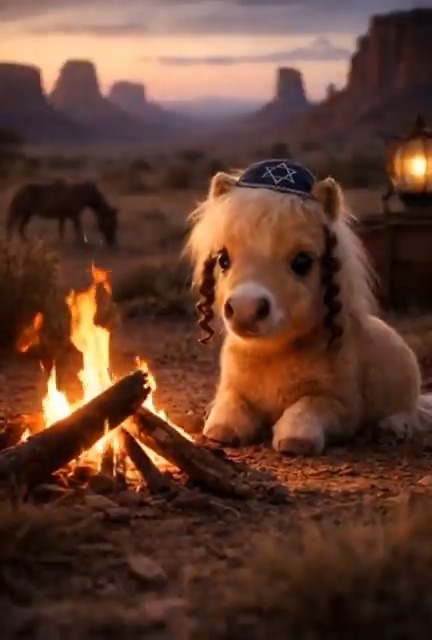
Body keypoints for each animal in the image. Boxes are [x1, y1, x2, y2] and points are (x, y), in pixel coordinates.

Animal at [185, 159, 432, 455]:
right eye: (223, 259)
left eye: (302, 261)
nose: (246, 309)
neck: (271, 356)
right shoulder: (231, 390)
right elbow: (226, 413)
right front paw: (222, 430)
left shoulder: (341, 407)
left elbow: (306, 409)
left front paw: (295, 440)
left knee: (409, 412)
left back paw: (391, 428)